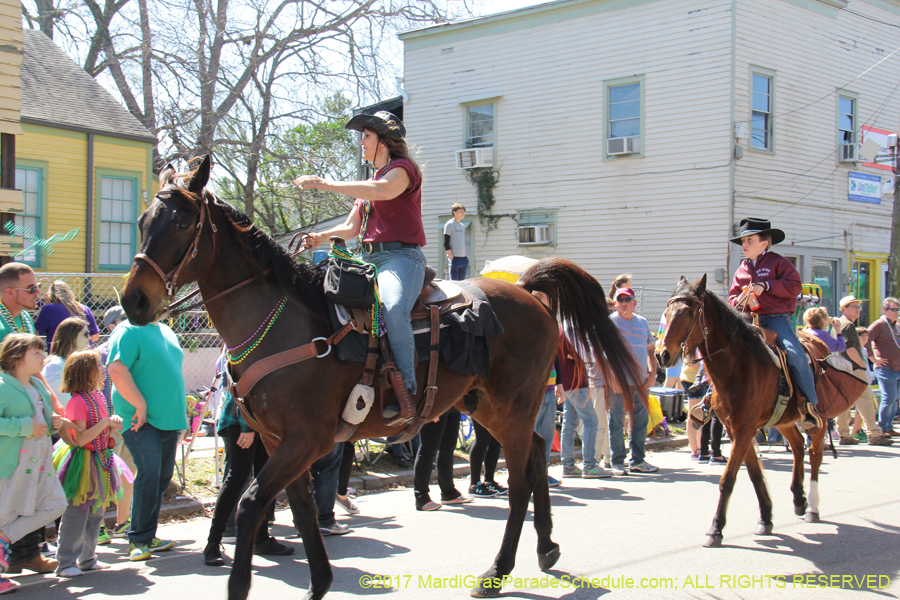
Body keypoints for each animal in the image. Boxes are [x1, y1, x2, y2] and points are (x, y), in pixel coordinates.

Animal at [121, 157, 640, 596]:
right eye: (144, 222)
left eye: (182, 223)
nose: (134, 301)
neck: (283, 322)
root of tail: (529, 291)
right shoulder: (276, 441)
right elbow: (303, 511)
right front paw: (319, 583)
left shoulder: (303, 440)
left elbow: (250, 506)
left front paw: (244, 586)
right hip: (490, 407)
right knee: (534, 455)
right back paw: (546, 548)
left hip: (512, 406)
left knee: (518, 482)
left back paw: (497, 570)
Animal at [652, 276, 828, 548]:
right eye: (668, 311)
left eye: (689, 311)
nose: (662, 355)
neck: (739, 366)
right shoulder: (736, 430)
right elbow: (754, 474)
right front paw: (765, 517)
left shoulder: (745, 430)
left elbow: (728, 479)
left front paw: (715, 529)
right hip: (784, 421)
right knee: (799, 446)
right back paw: (799, 500)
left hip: (819, 419)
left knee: (815, 454)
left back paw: (812, 507)